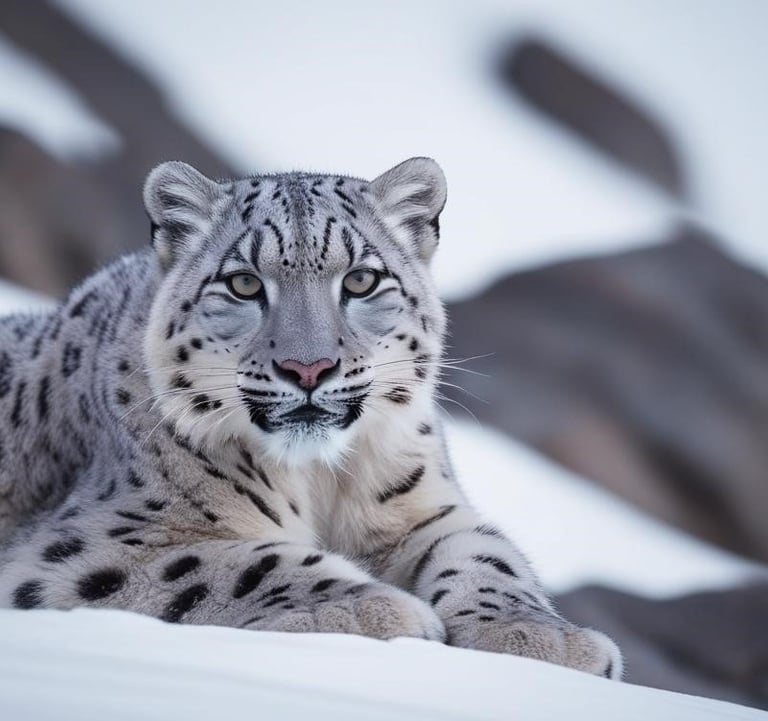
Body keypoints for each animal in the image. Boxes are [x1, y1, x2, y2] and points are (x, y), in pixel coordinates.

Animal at [0, 157, 622, 677]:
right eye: (243, 282)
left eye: (362, 279)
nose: (308, 367)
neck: (323, 481)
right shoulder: (88, 547)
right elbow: (232, 562)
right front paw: (378, 608)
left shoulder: (424, 507)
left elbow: (486, 555)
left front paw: (544, 638)